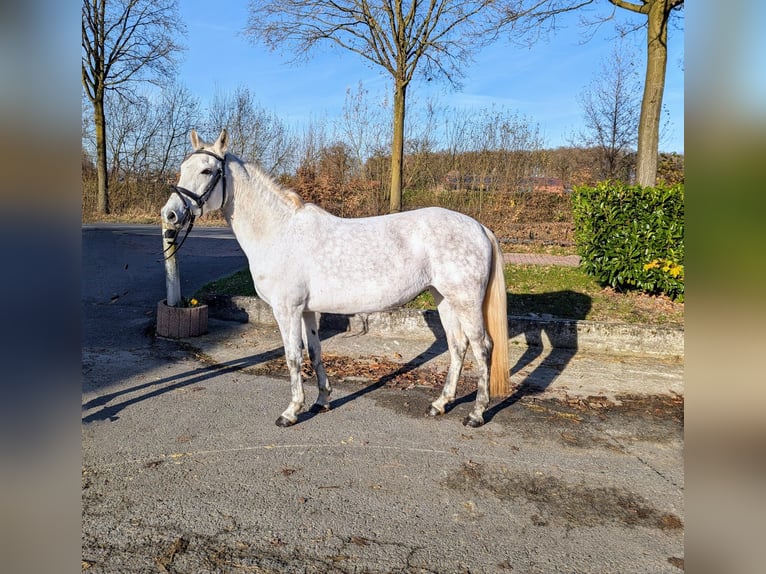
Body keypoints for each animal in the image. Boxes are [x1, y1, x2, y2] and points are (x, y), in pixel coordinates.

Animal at [162, 130, 510, 428]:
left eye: (207, 171)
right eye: (183, 168)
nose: (170, 214)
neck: (279, 232)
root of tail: (479, 227)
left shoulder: (286, 310)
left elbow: (292, 357)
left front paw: (291, 412)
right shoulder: (307, 311)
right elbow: (315, 353)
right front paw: (321, 401)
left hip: (465, 301)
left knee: (482, 347)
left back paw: (476, 414)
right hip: (444, 299)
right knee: (457, 346)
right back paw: (440, 404)